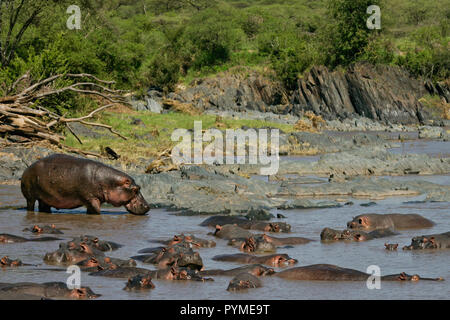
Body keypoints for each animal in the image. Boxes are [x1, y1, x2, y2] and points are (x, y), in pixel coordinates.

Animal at [21, 152, 150, 215]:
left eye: (140, 187)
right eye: (136, 189)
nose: (148, 206)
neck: (109, 182)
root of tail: (27, 168)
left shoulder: (92, 201)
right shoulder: (91, 198)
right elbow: (97, 212)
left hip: (45, 198)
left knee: (44, 207)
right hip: (30, 197)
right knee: (30, 206)